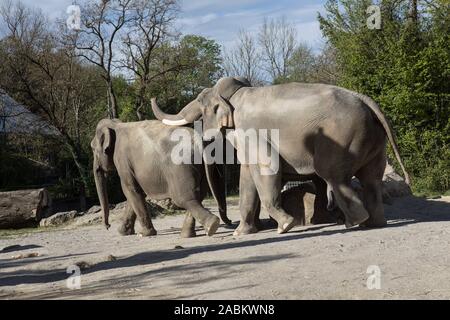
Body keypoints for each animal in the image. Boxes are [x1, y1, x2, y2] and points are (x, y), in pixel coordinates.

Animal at [90, 118, 230, 238]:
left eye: (92, 148)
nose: (107, 226)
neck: (116, 125)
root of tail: (199, 141)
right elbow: (136, 192)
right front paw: (123, 232)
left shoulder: (122, 159)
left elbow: (130, 190)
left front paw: (144, 234)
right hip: (201, 168)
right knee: (197, 197)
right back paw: (188, 234)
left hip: (180, 168)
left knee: (184, 198)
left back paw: (211, 226)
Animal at [150, 76, 408, 236]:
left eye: (200, 114)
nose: (228, 224)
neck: (237, 92)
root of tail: (365, 100)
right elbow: (247, 177)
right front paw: (241, 233)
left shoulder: (251, 131)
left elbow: (266, 166)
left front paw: (285, 226)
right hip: (375, 141)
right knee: (371, 179)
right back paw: (374, 223)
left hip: (342, 138)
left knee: (334, 176)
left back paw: (354, 222)